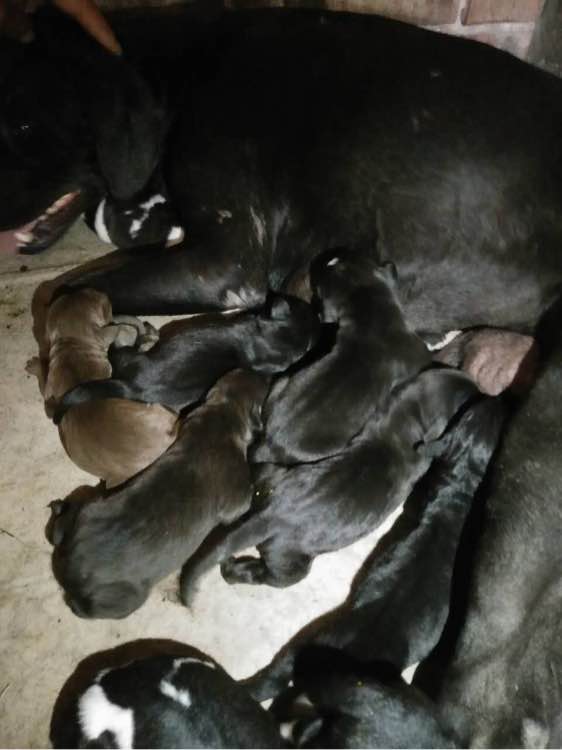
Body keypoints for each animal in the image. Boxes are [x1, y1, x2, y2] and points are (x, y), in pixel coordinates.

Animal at [48, 369, 268, 618]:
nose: (261, 372)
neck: (223, 415)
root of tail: (67, 568)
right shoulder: (237, 494)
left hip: (87, 508)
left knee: (60, 527)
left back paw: (58, 507)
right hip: (123, 599)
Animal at [179, 367, 480, 601]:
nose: (485, 395)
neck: (403, 421)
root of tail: (270, 516)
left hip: (273, 474)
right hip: (291, 563)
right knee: (267, 576)